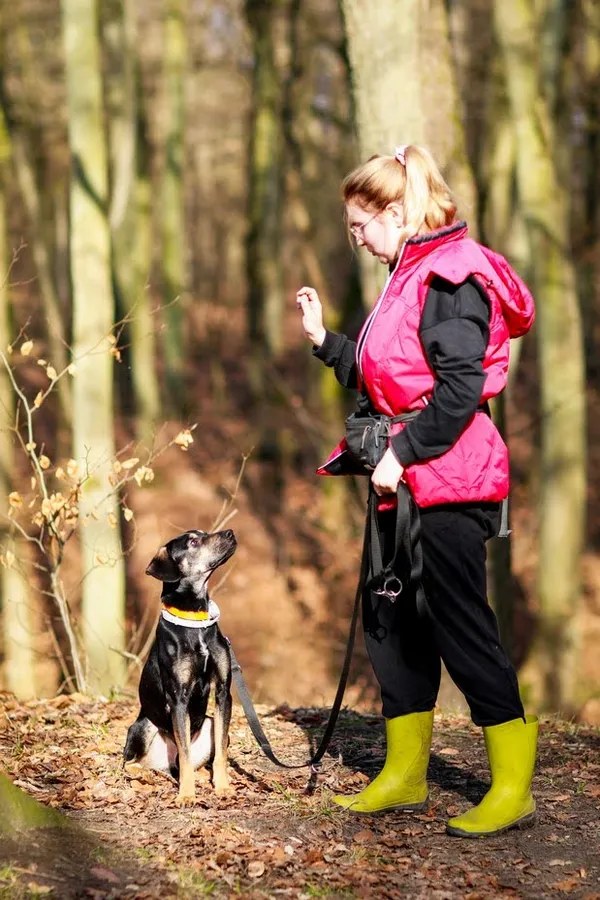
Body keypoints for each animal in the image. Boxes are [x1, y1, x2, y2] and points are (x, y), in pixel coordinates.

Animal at [123, 524, 236, 804]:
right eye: (193, 542)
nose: (231, 532)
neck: (194, 620)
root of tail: (164, 763)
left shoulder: (223, 691)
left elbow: (221, 752)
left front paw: (223, 787)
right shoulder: (178, 697)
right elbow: (184, 754)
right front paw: (186, 795)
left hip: (207, 724)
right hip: (142, 726)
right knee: (132, 762)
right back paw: (145, 773)